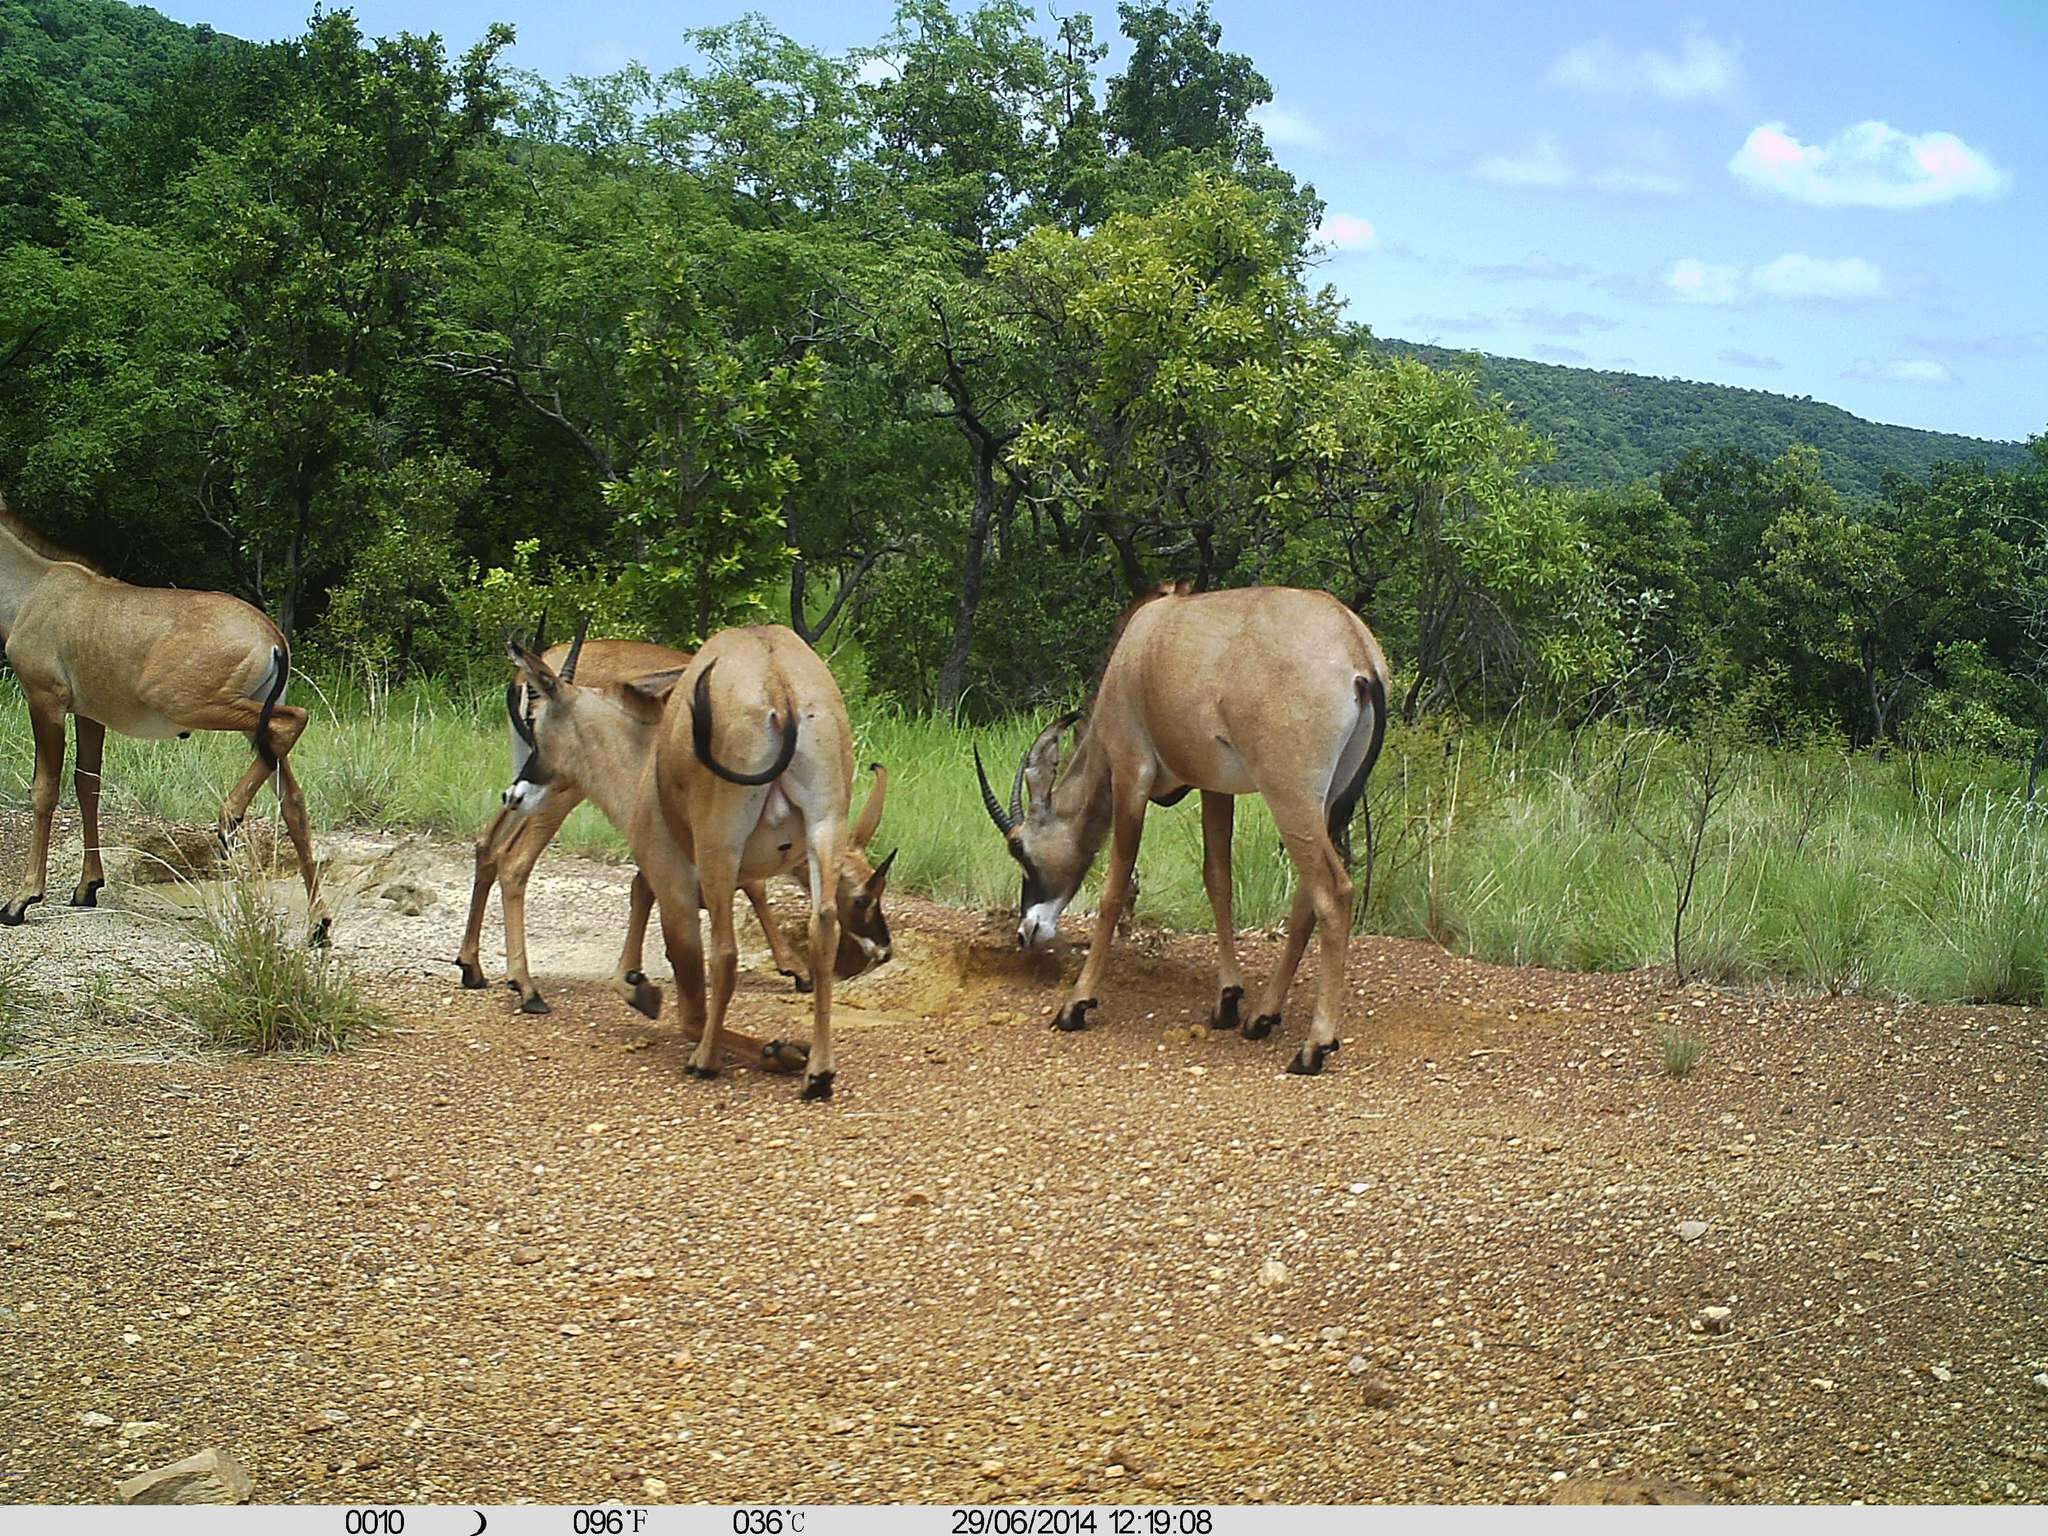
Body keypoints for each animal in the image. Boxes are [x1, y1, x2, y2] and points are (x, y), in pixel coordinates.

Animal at [0, 499, 325, 946]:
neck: (32, 589)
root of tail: (273, 637)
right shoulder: (88, 713)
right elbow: (87, 786)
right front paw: (87, 887)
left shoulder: (46, 698)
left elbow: (44, 792)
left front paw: (21, 900)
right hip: (248, 717)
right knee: (292, 799)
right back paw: (319, 924)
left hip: (189, 703)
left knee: (292, 722)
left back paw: (229, 818)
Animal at [503, 618, 888, 1097]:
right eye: (864, 898)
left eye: (537, 722)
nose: (514, 793)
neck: (645, 758)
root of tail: (777, 682)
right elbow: (641, 894)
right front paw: (637, 986)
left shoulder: (675, 883)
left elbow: (690, 1009)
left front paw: (771, 1048)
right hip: (824, 828)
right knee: (823, 930)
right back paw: (818, 1072)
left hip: (717, 843)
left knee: (724, 952)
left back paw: (706, 1060)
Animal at [974, 581, 1392, 1073]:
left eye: (1019, 848)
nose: (1026, 932)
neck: (1137, 647)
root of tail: (1357, 650)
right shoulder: (1215, 786)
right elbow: (1218, 879)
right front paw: (1227, 1000)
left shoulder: (1130, 772)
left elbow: (1115, 888)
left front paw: (1076, 1004)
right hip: (1325, 801)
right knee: (1308, 897)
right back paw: (1262, 1016)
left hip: (1290, 796)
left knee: (1333, 892)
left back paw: (1314, 1046)